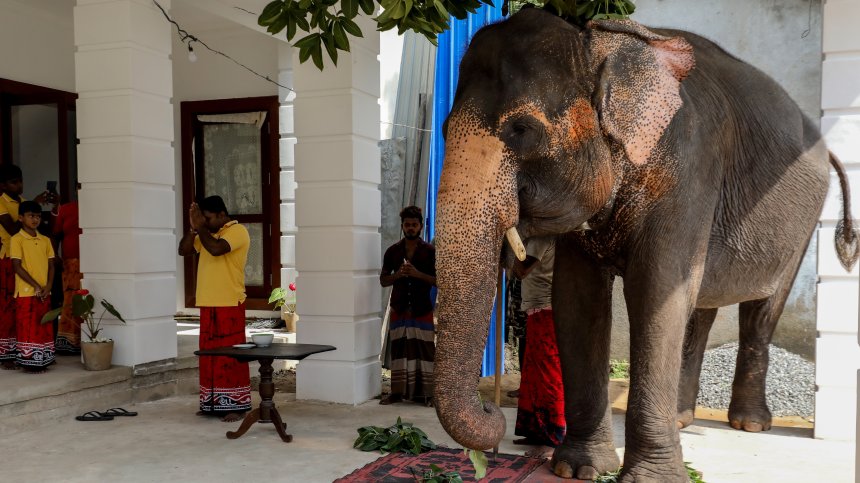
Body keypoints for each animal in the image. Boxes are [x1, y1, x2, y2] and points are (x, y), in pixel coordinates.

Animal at [432, 7, 858, 482]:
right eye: (445, 129)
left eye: (522, 128)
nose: (492, 410)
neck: (600, 45)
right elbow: (578, 299)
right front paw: (579, 469)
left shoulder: (688, 169)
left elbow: (655, 290)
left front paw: (650, 478)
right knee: (701, 306)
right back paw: (683, 419)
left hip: (803, 221)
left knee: (762, 308)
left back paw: (749, 424)